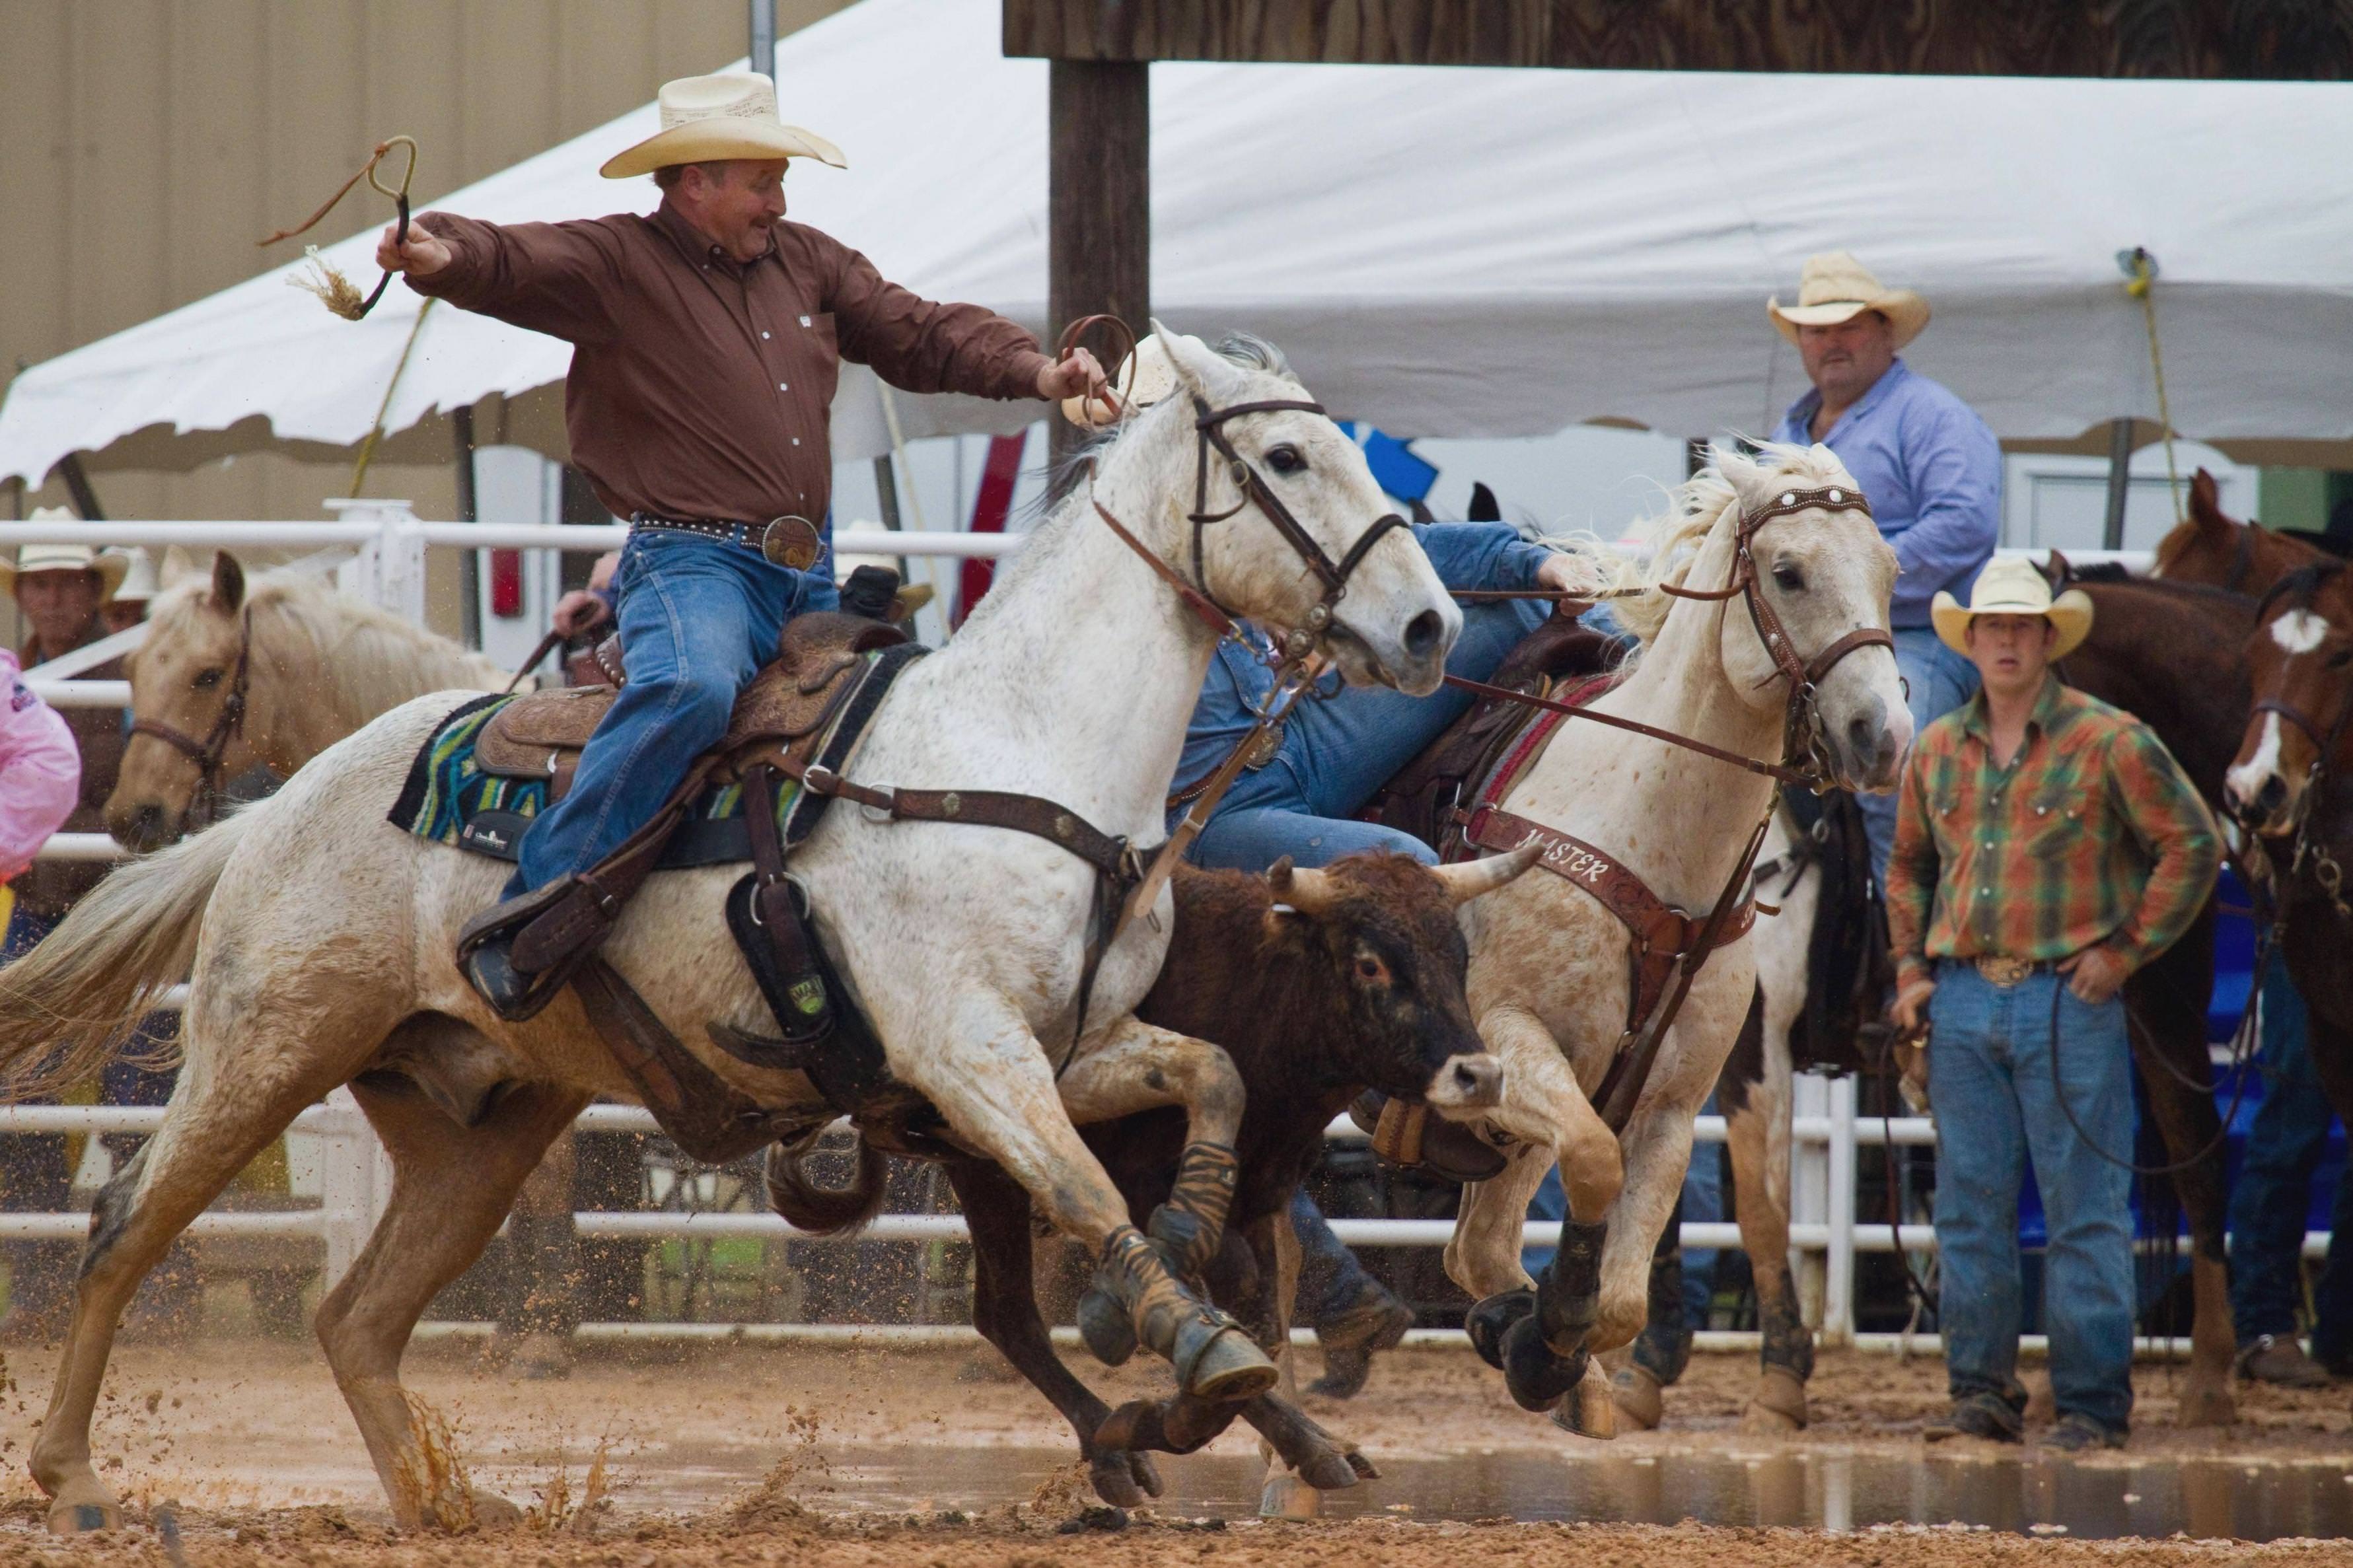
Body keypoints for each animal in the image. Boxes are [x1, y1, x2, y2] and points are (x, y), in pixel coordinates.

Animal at [1430, 443, 1910, 1431]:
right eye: (1787, 571)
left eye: (1889, 572)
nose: (1883, 735)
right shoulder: (1505, 1038)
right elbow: (1598, 1164)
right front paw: (1554, 1337)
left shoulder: (1677, 1093)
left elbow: (1630, 1275)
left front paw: (1564, 1349)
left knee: (1476, 1244)